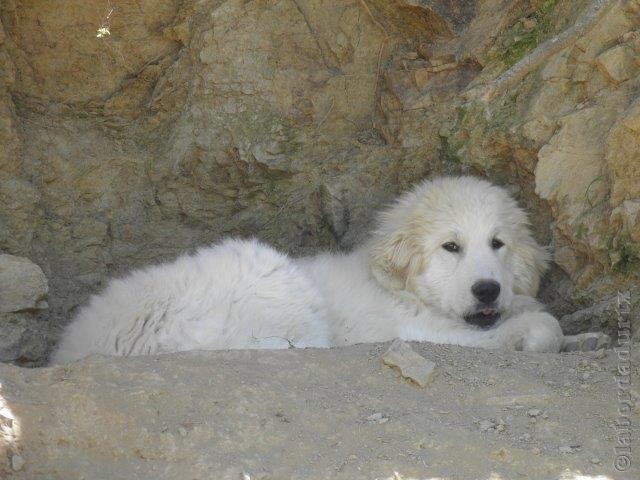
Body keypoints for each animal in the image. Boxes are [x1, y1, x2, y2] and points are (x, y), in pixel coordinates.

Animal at [51, 177, 568, 364]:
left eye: (498, 244)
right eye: (451, 247)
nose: (487, 290)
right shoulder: (419, 330)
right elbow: (534, 327)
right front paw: (537, 332)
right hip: (268, 272)